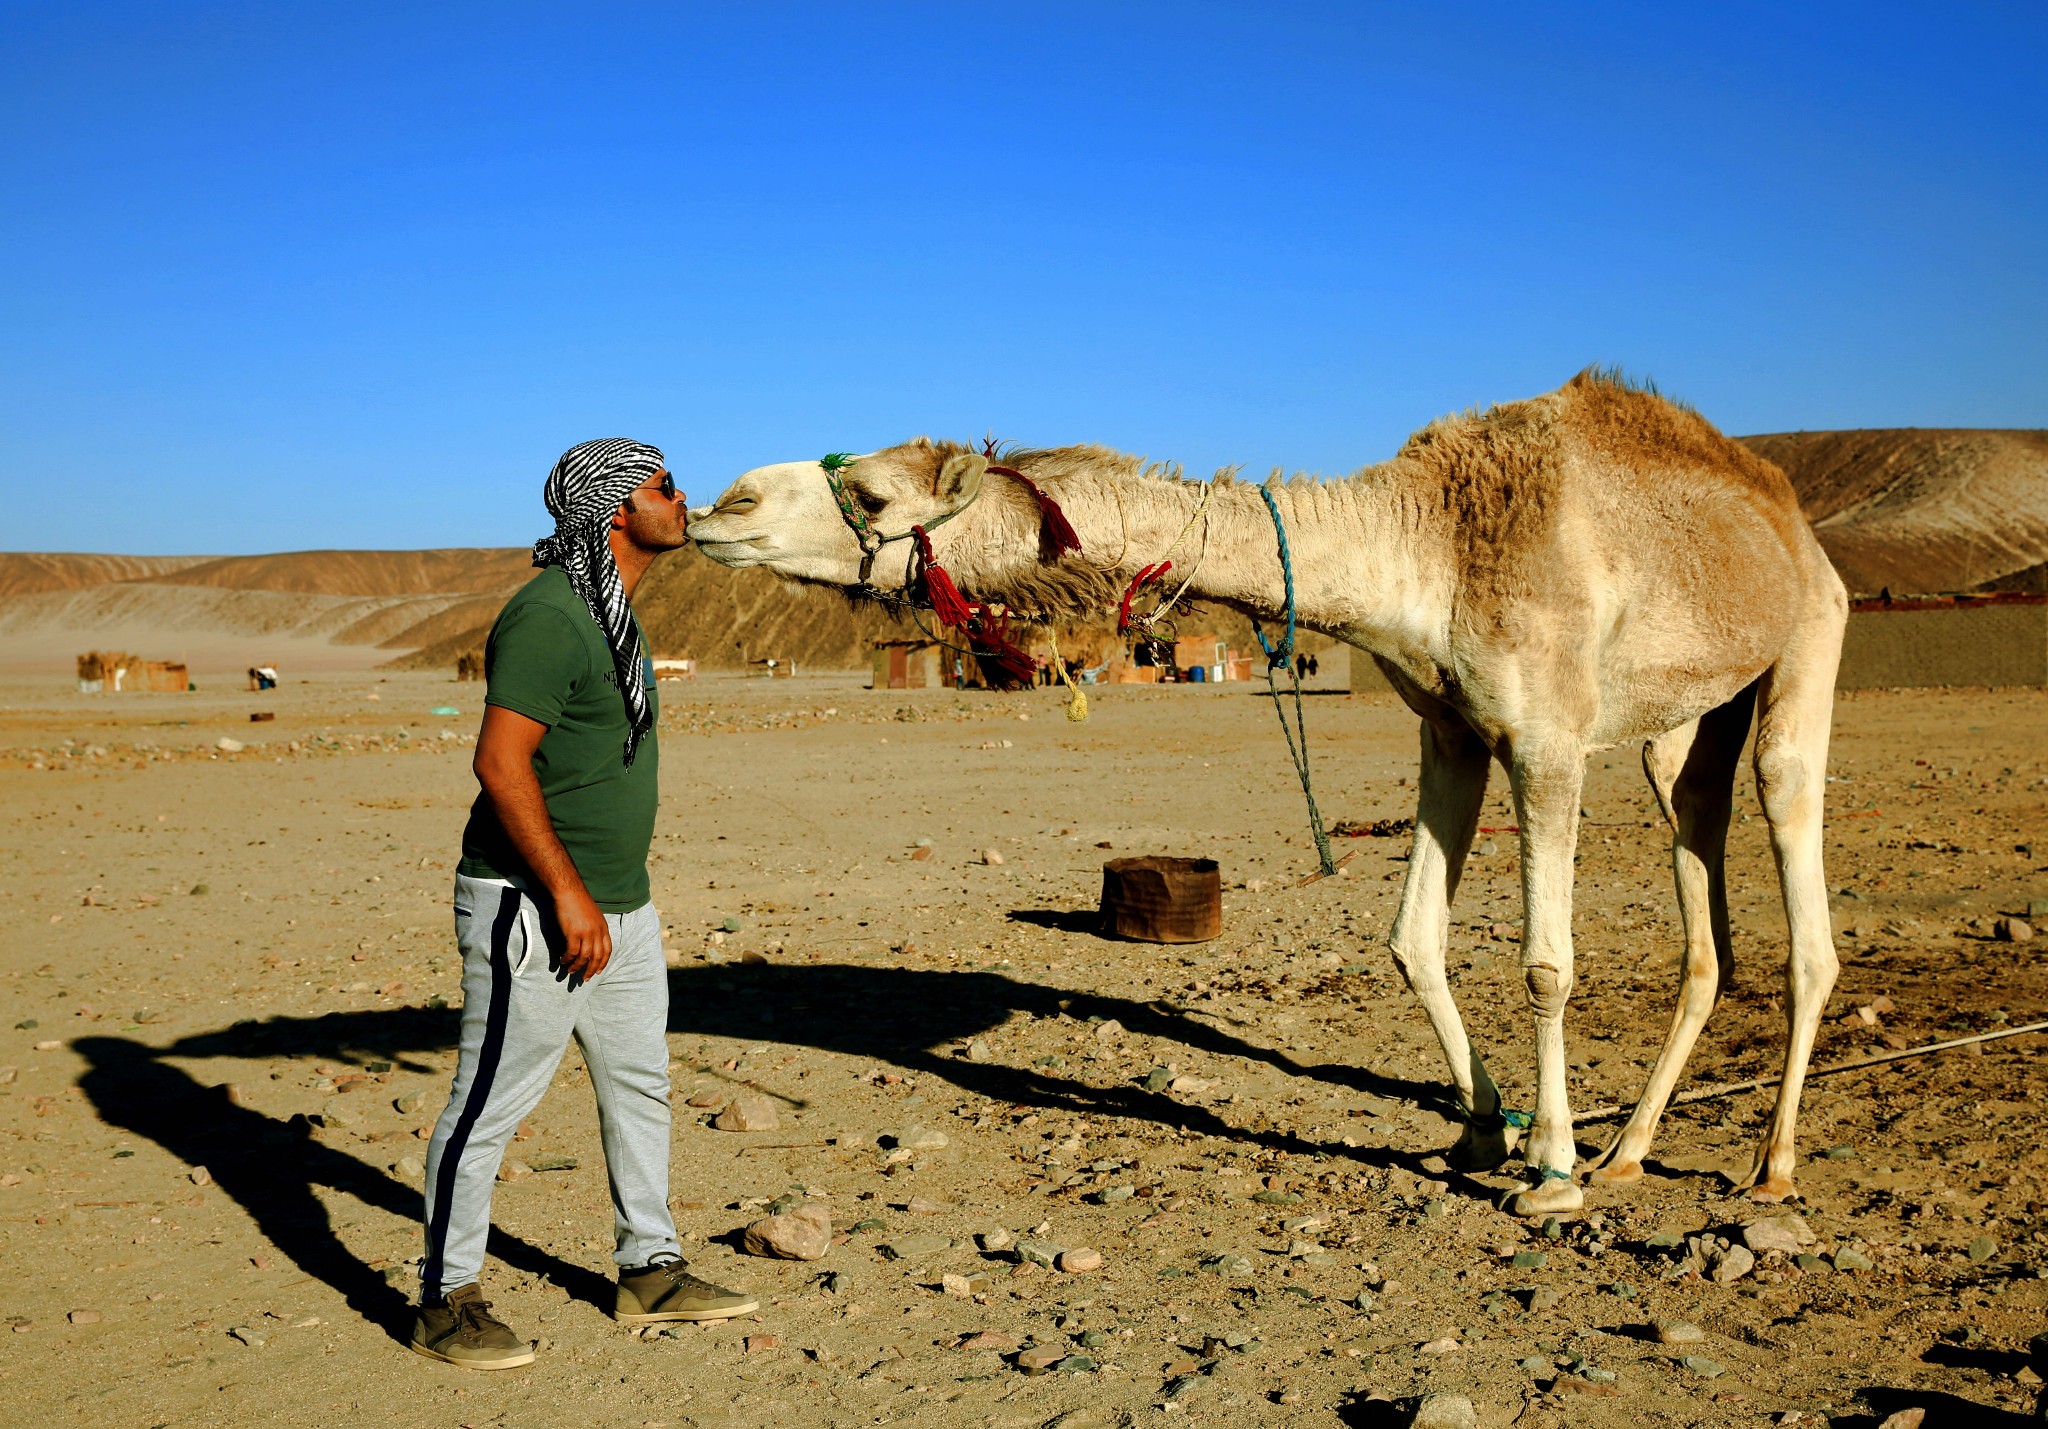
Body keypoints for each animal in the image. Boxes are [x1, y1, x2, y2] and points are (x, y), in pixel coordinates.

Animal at [692, 370, 1859, 1211]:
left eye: (874, 492)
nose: (722, 503)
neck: (1425, 546)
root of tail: (1792, 525)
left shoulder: (1546, 739)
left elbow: (1544, 965)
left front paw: (1552, 1174)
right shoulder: (1451, 730)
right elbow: (1411, 939)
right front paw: (1484, 1130)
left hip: (1807, 643)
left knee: (1799, 888)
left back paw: (1765, 1167)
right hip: (1685, 722)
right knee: (1702, 901)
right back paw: (1632, 1149)